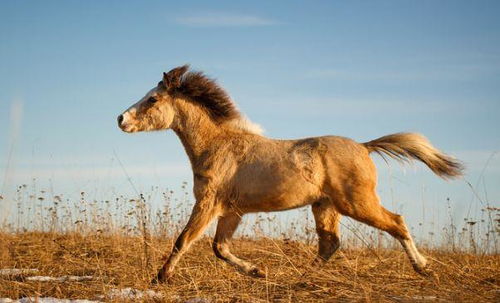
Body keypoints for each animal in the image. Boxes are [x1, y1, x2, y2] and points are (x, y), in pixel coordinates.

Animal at [116, 65, 460, 284]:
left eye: (153, 98)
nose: (120, 119)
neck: (219, 145)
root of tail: (365, 147)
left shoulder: (208, 204)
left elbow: (183, 240)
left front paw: (160, 278)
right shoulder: (232, 211)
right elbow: (220, 248)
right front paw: (258, 272)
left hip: (356, 203)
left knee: (396, 223)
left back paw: (424, 268)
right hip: (325, 206)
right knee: (329, 244)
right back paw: (302, 277)